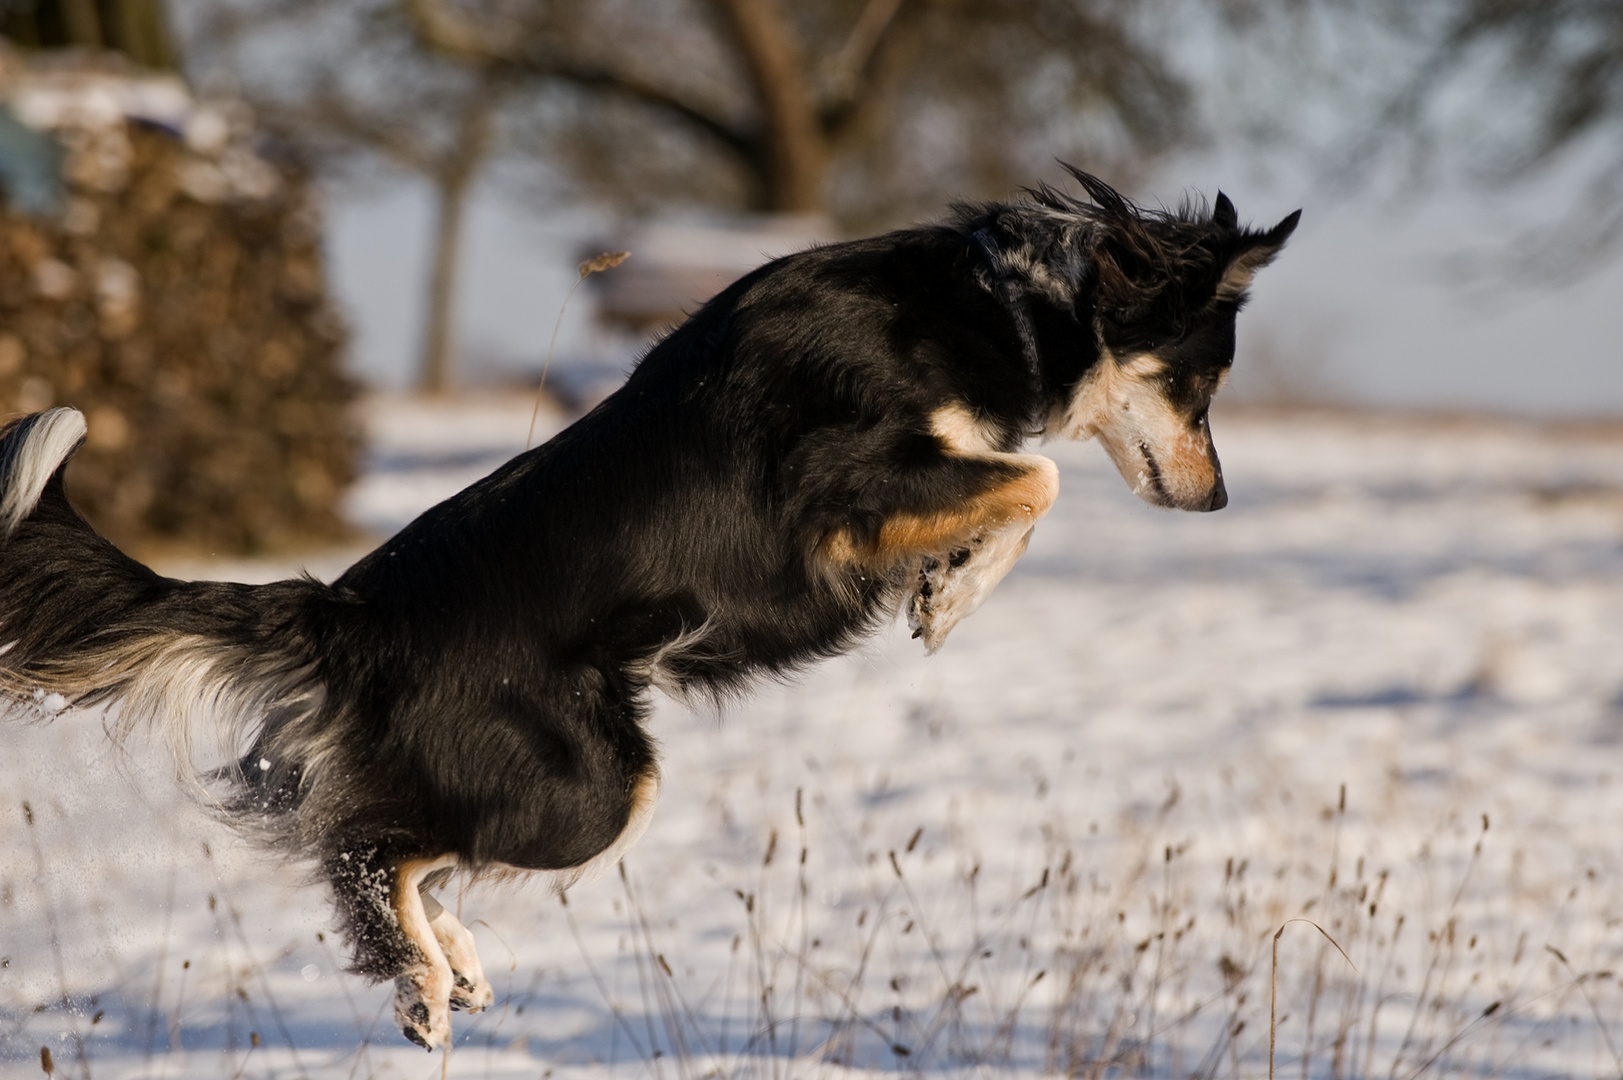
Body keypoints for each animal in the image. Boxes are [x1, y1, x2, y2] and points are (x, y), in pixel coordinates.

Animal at [0, 168, 1291, 1045]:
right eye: (1204, 380)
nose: (1223, 498)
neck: (1003, 302)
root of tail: (352, 612)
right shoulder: (842, 486)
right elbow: (1040, 476)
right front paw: (956, 591)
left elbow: (1025, 483)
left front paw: (948, 584)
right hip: (593, 788)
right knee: (370, 847)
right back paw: (421, 985)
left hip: (539, 780)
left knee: (396, 846)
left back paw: (448, 968)